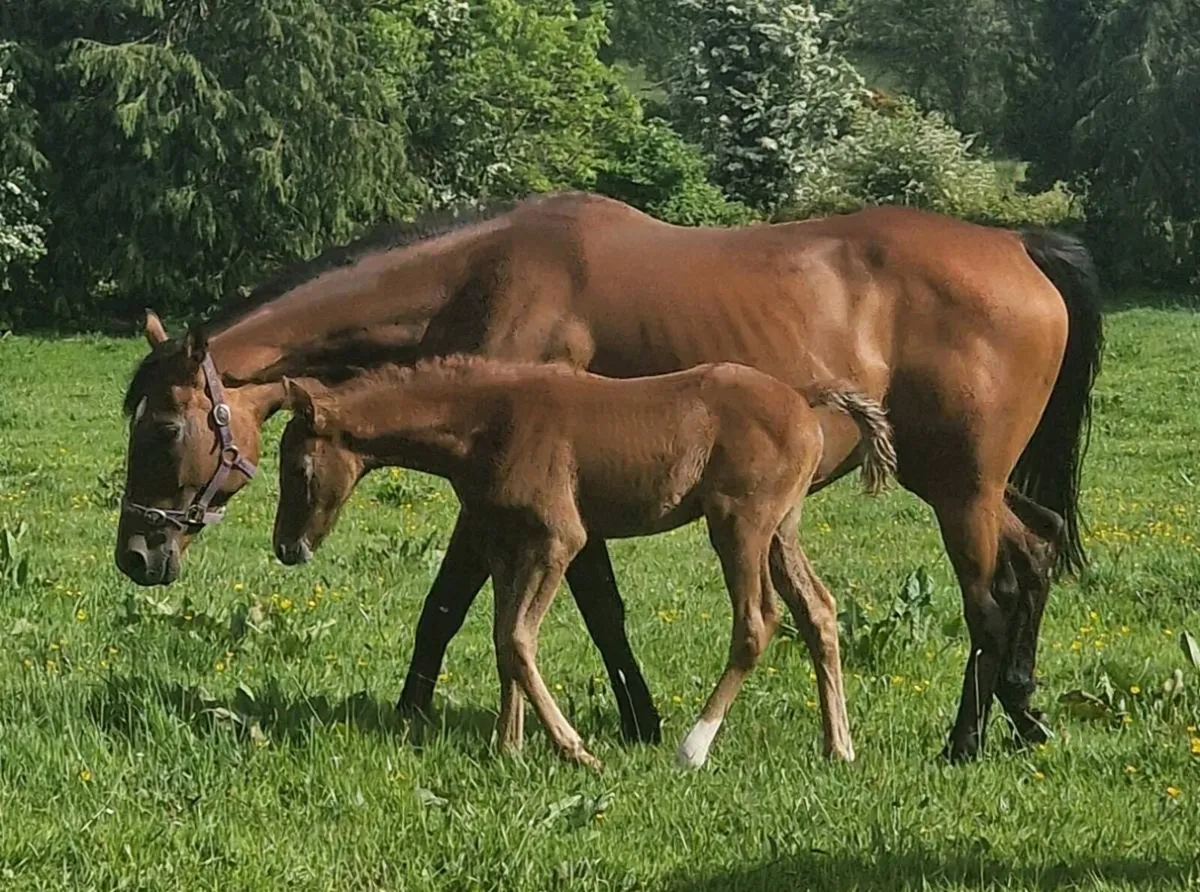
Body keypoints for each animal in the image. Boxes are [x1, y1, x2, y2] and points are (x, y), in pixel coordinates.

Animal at [270, 356, 897, 769]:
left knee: (757, 621)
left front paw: (574, 750)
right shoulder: (505, 545)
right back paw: (839, 747)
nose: (285, 548)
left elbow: (517, 639)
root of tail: (801, 396)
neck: (486, 424)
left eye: (299, 470)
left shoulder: (558, 540)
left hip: (739, 524)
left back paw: (692, 748)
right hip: (780, 530)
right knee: (818, 610)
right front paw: (509, 748)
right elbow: (502, 641)